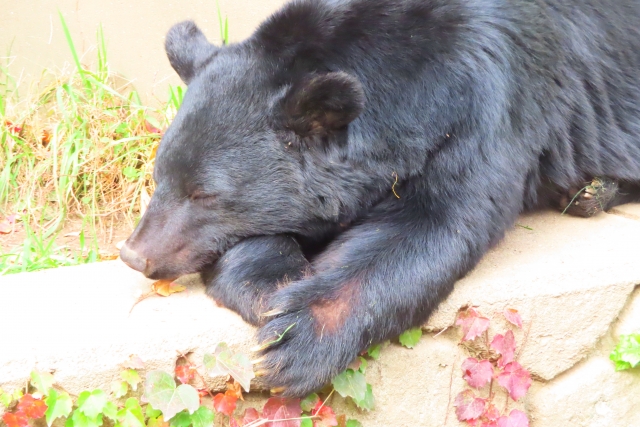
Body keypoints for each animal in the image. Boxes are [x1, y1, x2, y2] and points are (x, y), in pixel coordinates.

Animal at [120, 0, 640, 398]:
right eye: (159, 175)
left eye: (204, 194)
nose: (133, 254)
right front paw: (272, 284)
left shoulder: (487, 101)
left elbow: (434, 223)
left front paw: (290, 343)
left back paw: (592, 190)